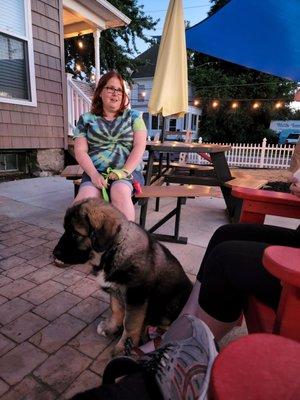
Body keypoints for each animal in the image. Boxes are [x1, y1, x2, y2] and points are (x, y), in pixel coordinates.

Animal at [58, 198, 191, 354]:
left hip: (171, 303)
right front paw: (110, 327)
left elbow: (130, 323)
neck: (114, 250)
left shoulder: (136, 297)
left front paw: (123, 348)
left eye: (74, 234)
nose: (55, 253)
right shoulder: (115, 290)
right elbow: (116, 310)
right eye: (65, 230)